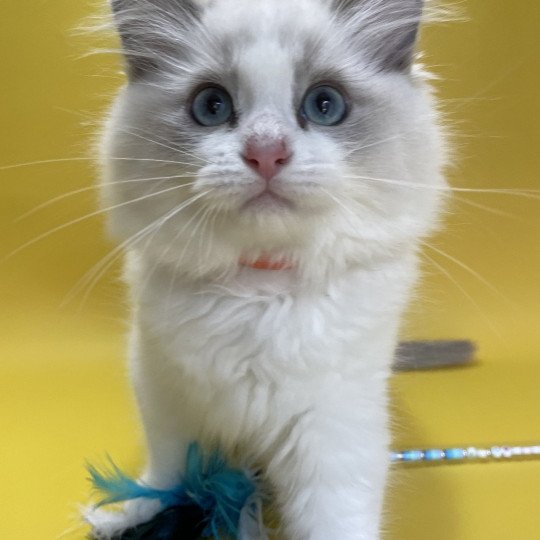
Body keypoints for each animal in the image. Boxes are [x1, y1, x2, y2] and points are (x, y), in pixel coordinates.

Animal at [84, 0, 448, 536]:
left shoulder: (334, 431)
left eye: (325, 105)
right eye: (211, 106)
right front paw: (135, 512)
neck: (259, 287)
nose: (266, 153)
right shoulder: (162, 390)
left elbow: (334, 518)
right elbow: (167, 470)